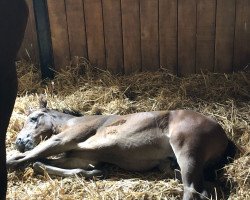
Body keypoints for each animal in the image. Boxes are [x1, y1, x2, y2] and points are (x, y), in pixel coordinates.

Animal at [6, 96, 236, 199]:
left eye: (33, 119)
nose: (19, 141)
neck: (71, 122)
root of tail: (223, 133)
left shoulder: (63, 140)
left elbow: (27, 157)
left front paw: (11, 159)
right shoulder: (80, 157)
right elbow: (39, 163)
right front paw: (96, 172)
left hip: (187, 151)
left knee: (193, 190)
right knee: (209, 188)